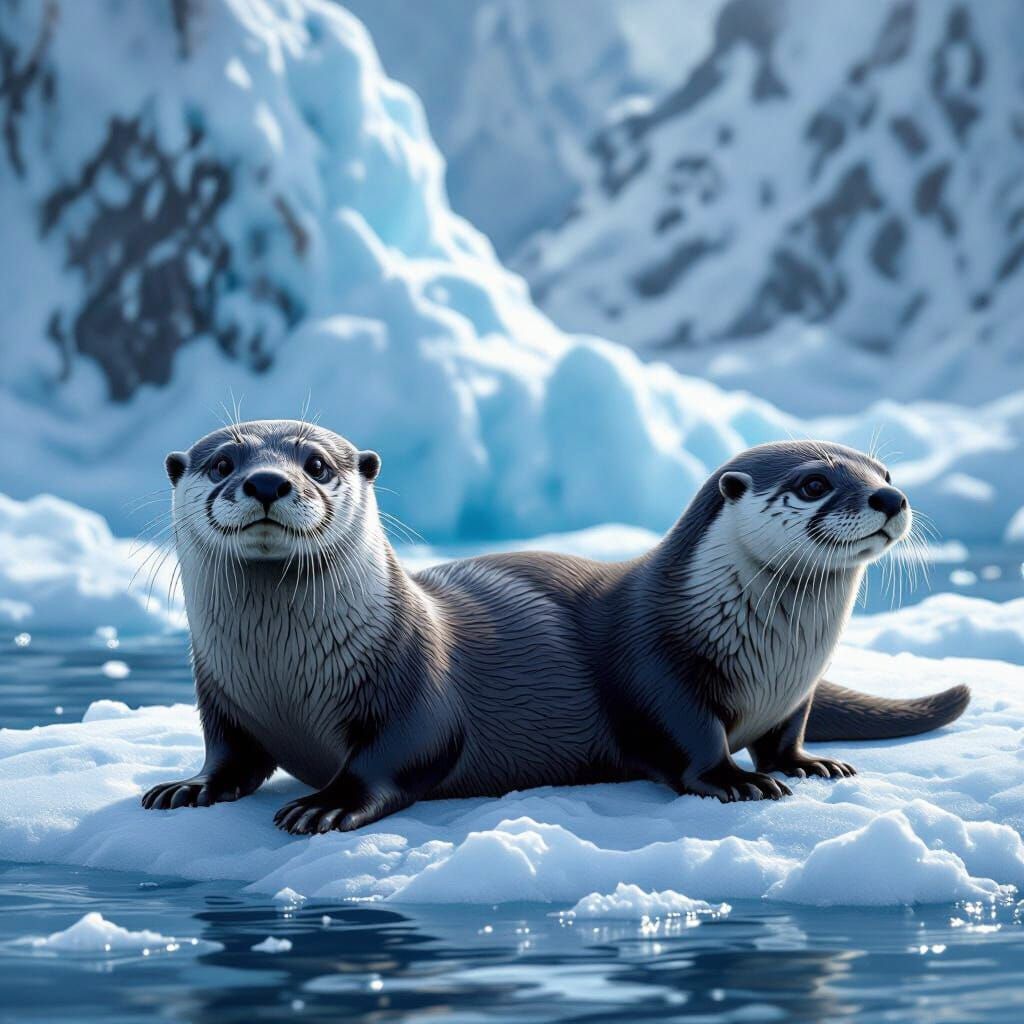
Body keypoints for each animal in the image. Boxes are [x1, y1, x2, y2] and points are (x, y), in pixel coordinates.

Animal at [142, 422, 969, 833]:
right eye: (815, 482)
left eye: (317, 464)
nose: (268, 479)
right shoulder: (655, 668)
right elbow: (230, 755)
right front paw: (192, 787)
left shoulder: (413, 688)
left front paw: (797, 766)